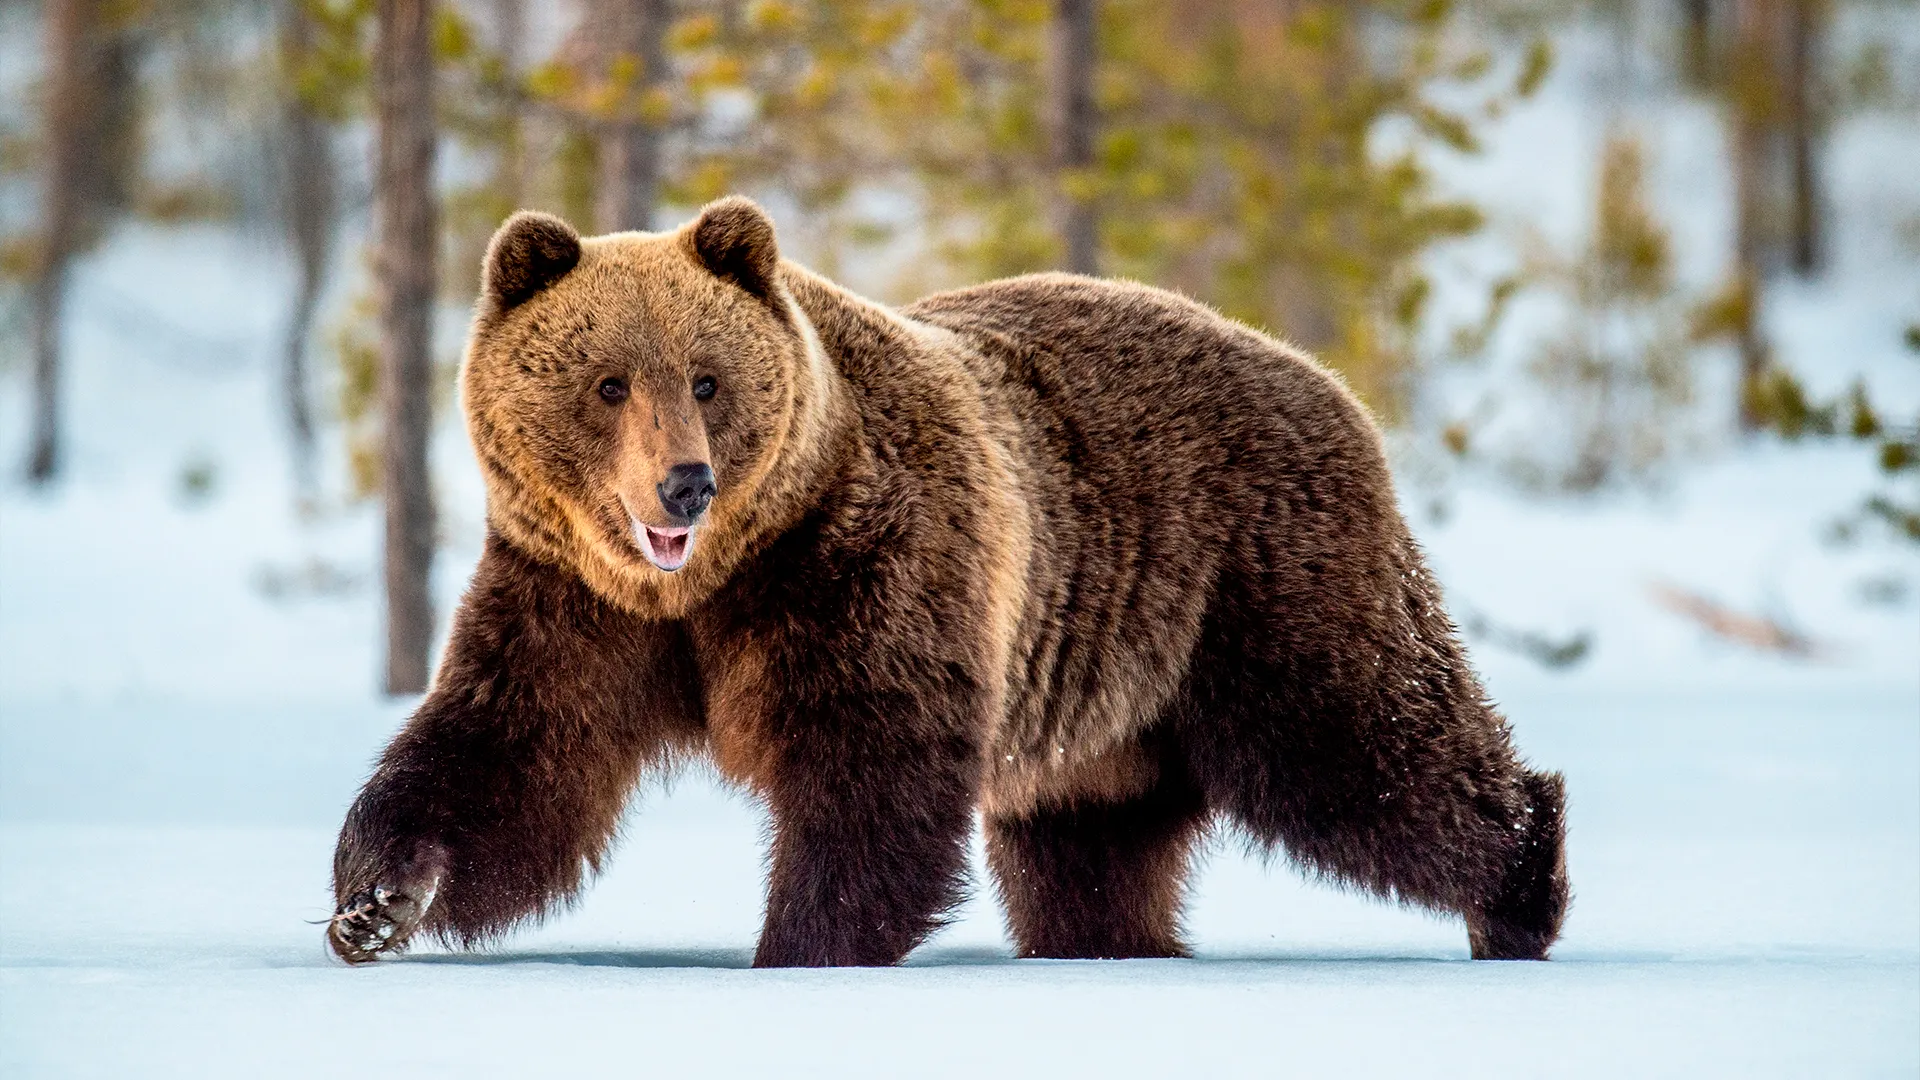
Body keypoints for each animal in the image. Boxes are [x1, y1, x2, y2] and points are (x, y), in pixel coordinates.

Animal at [330, 195, 1566, 968]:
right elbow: (512, 755)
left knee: (1367, 748)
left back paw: (1519, 883)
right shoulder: (571, 596)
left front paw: (797, 946)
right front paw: (375, 902)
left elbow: (871, 767)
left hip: (1253, 583)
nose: (684, 484)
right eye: (607, 382)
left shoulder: (862, 561)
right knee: (1091, 845)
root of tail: (1326, 378)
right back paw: (1116, 942)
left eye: (708, 377)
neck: (708, 583)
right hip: (1110, 702)